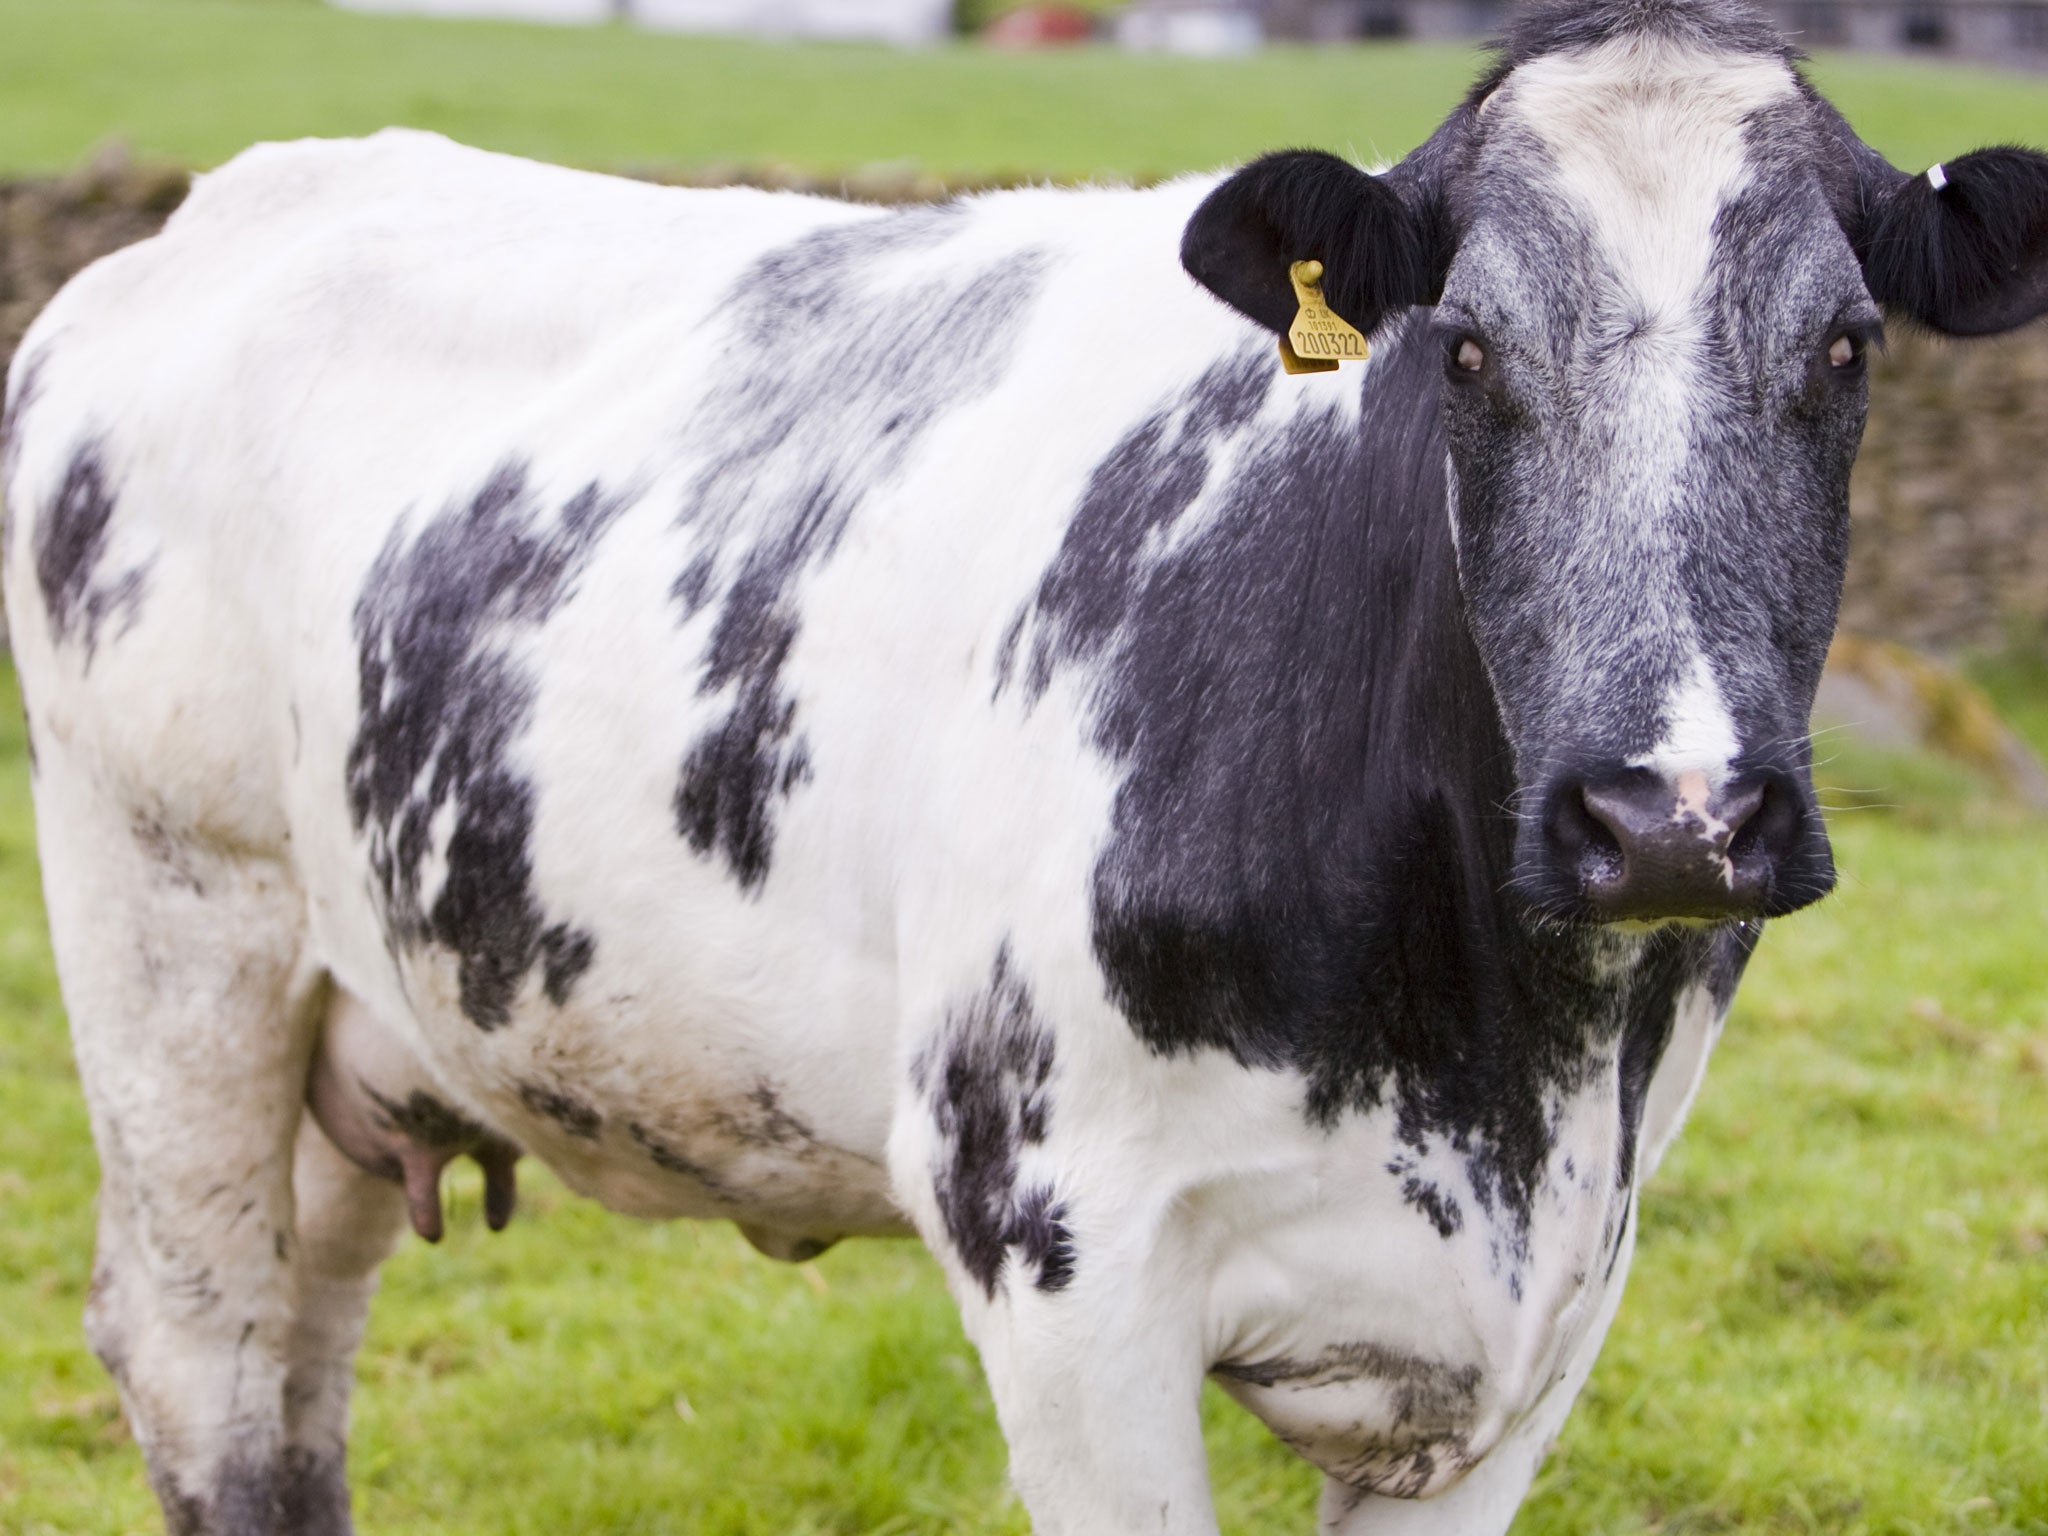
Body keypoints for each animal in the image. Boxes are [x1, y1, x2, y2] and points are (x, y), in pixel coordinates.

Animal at [4, 0, 2048, 1531]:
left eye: (1846, 345)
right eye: (1463, 348)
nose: (1671, 817)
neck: (1495, 1056)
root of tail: (234, 201)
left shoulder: (1544, 1316)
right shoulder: (1059, 1254)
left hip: (365, 1023)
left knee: (301, 1361)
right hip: (169, 929)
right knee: (201, 1357)